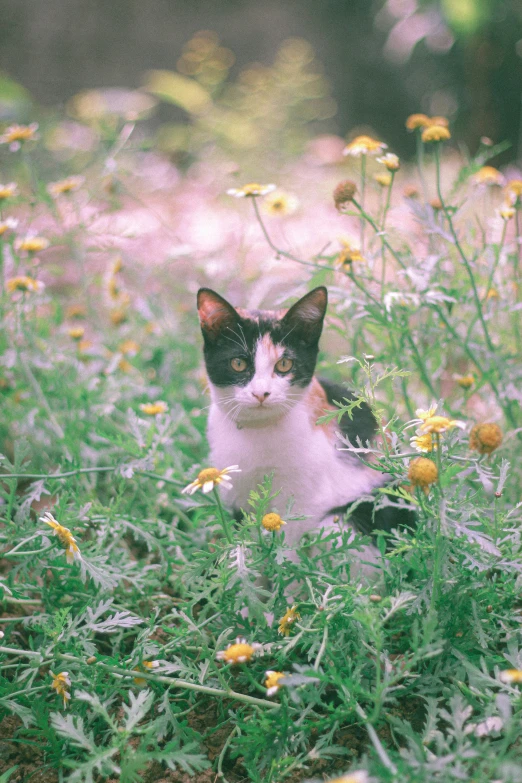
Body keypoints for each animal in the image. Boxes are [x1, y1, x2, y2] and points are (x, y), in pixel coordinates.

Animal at [197, 284, 412, 556]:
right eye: (238, 363)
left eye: (284, 364)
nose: (261, 393)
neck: (258, 432)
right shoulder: (237, 494)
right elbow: (246, 542)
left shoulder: (306, 499)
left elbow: (288, 548)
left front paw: (282, 565)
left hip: (349, 520)